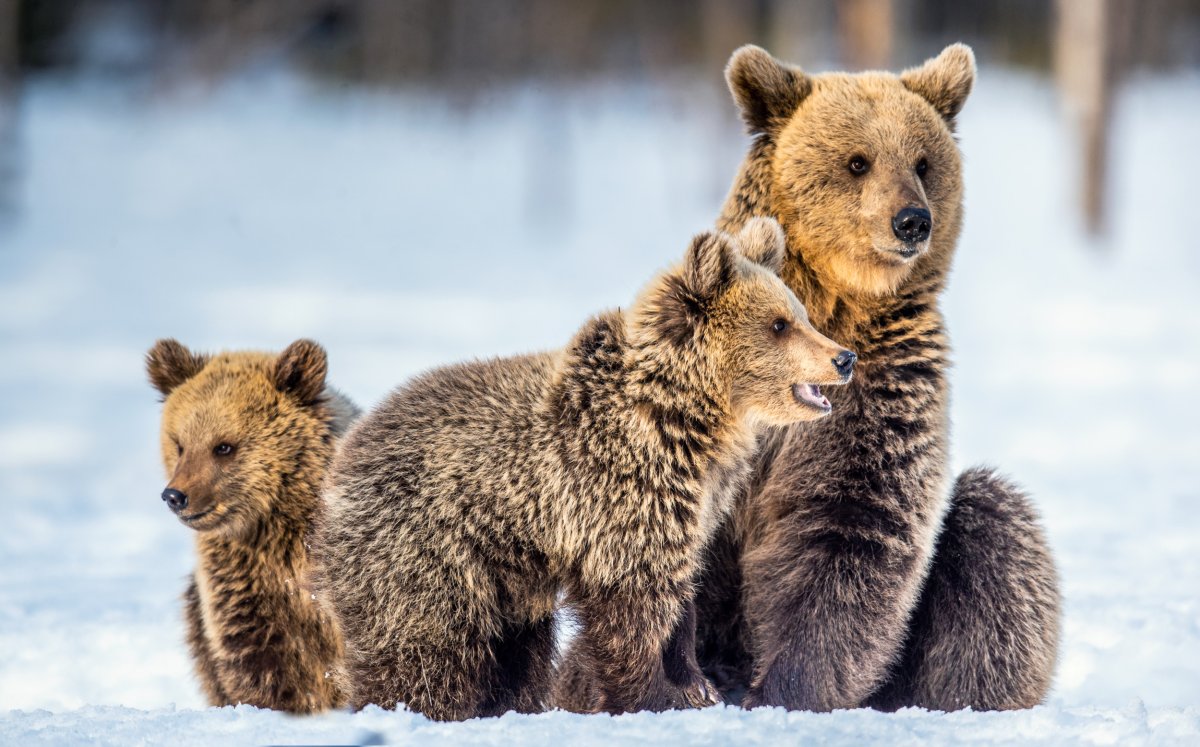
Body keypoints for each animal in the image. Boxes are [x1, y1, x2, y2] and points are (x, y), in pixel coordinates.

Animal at [314, 219, 859, 725]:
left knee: (515, 652)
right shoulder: (613, 487)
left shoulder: (694, 504)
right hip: (425, 547)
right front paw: (651, 696)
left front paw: (694, 686)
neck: (686, 420)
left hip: (504, 583)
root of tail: (343, 457)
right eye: (778, 324)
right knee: (427, 649)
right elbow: (633, 605)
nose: (844, 357)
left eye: (799, 313)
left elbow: (680, 593)